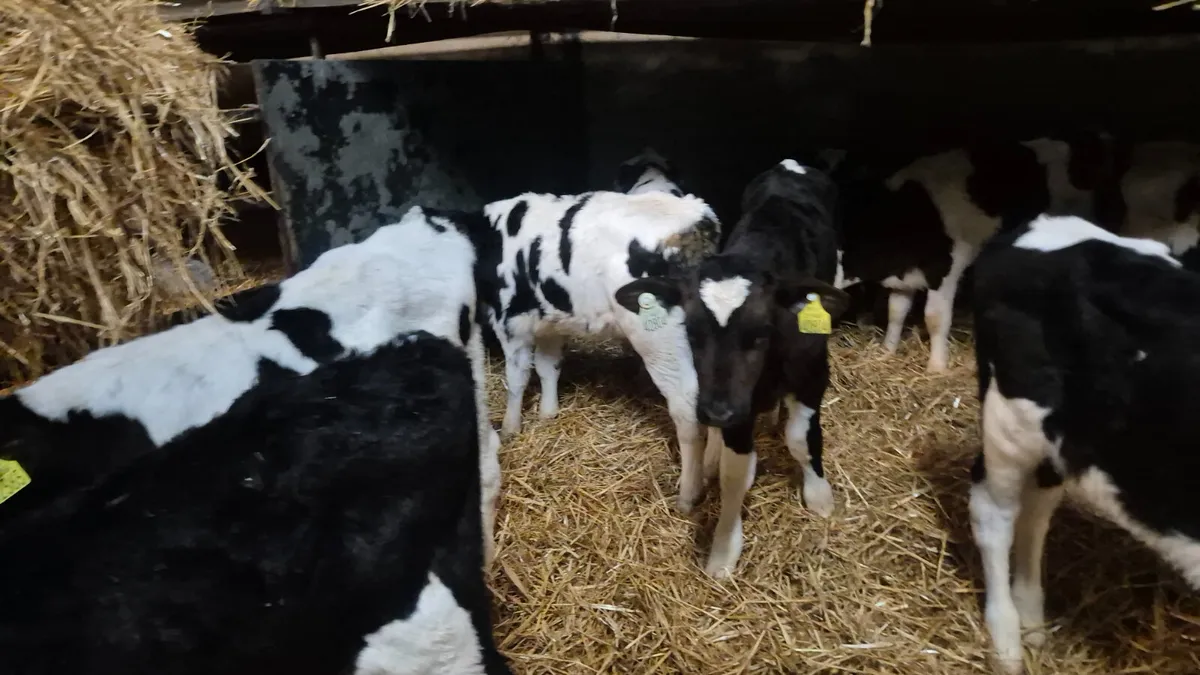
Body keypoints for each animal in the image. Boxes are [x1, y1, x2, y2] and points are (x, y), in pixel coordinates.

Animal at [431, 190, 722, 516]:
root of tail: (694, 220)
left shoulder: (512, 321)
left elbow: (517, 378)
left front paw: (510, 427)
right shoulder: (549, 321)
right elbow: (548, 367)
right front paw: (548, 413)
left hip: (660, 339)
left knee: (686, 410)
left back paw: (688, 495)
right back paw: (711, 469)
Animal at [614, 159, 851, 578]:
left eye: (760, 332)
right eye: (691, 330)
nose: (716, 412)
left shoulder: (812, 374)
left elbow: (800, 439)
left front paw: (819, 496)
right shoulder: (733, 406)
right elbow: (734, 472)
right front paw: (724, 550)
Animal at [968, 213, 1200, 675]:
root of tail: (1043, 223)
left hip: (1062, 440)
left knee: (1036, 511)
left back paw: (1032, 622)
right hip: (1011, 419)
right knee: (994, 513)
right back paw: (1006, 642)